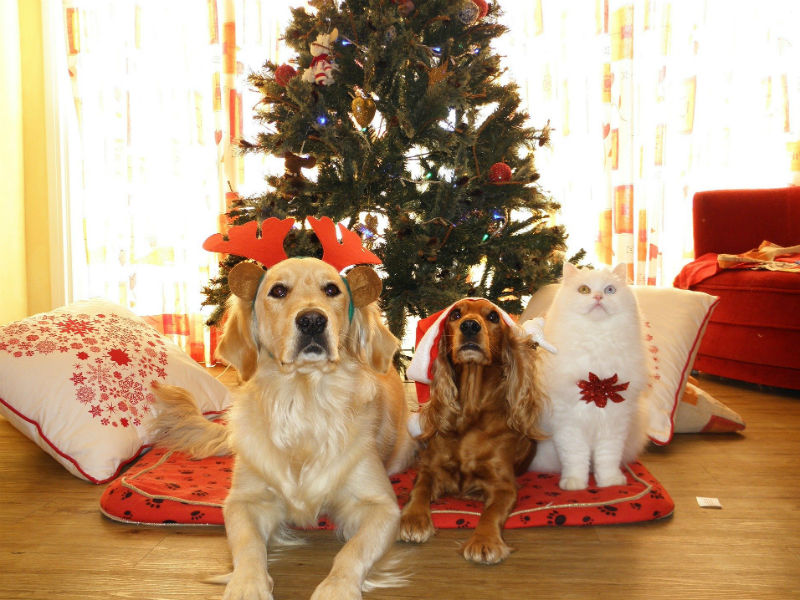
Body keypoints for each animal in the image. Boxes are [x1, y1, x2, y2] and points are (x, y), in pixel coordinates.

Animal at [532, 262, 648, 488]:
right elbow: (576, 459)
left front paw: (610, 483)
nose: (598, 297)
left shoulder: (614, 423)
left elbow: (607, 459)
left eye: (610, 290)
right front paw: (575, 484)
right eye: (584, 290)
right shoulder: (569, 424)